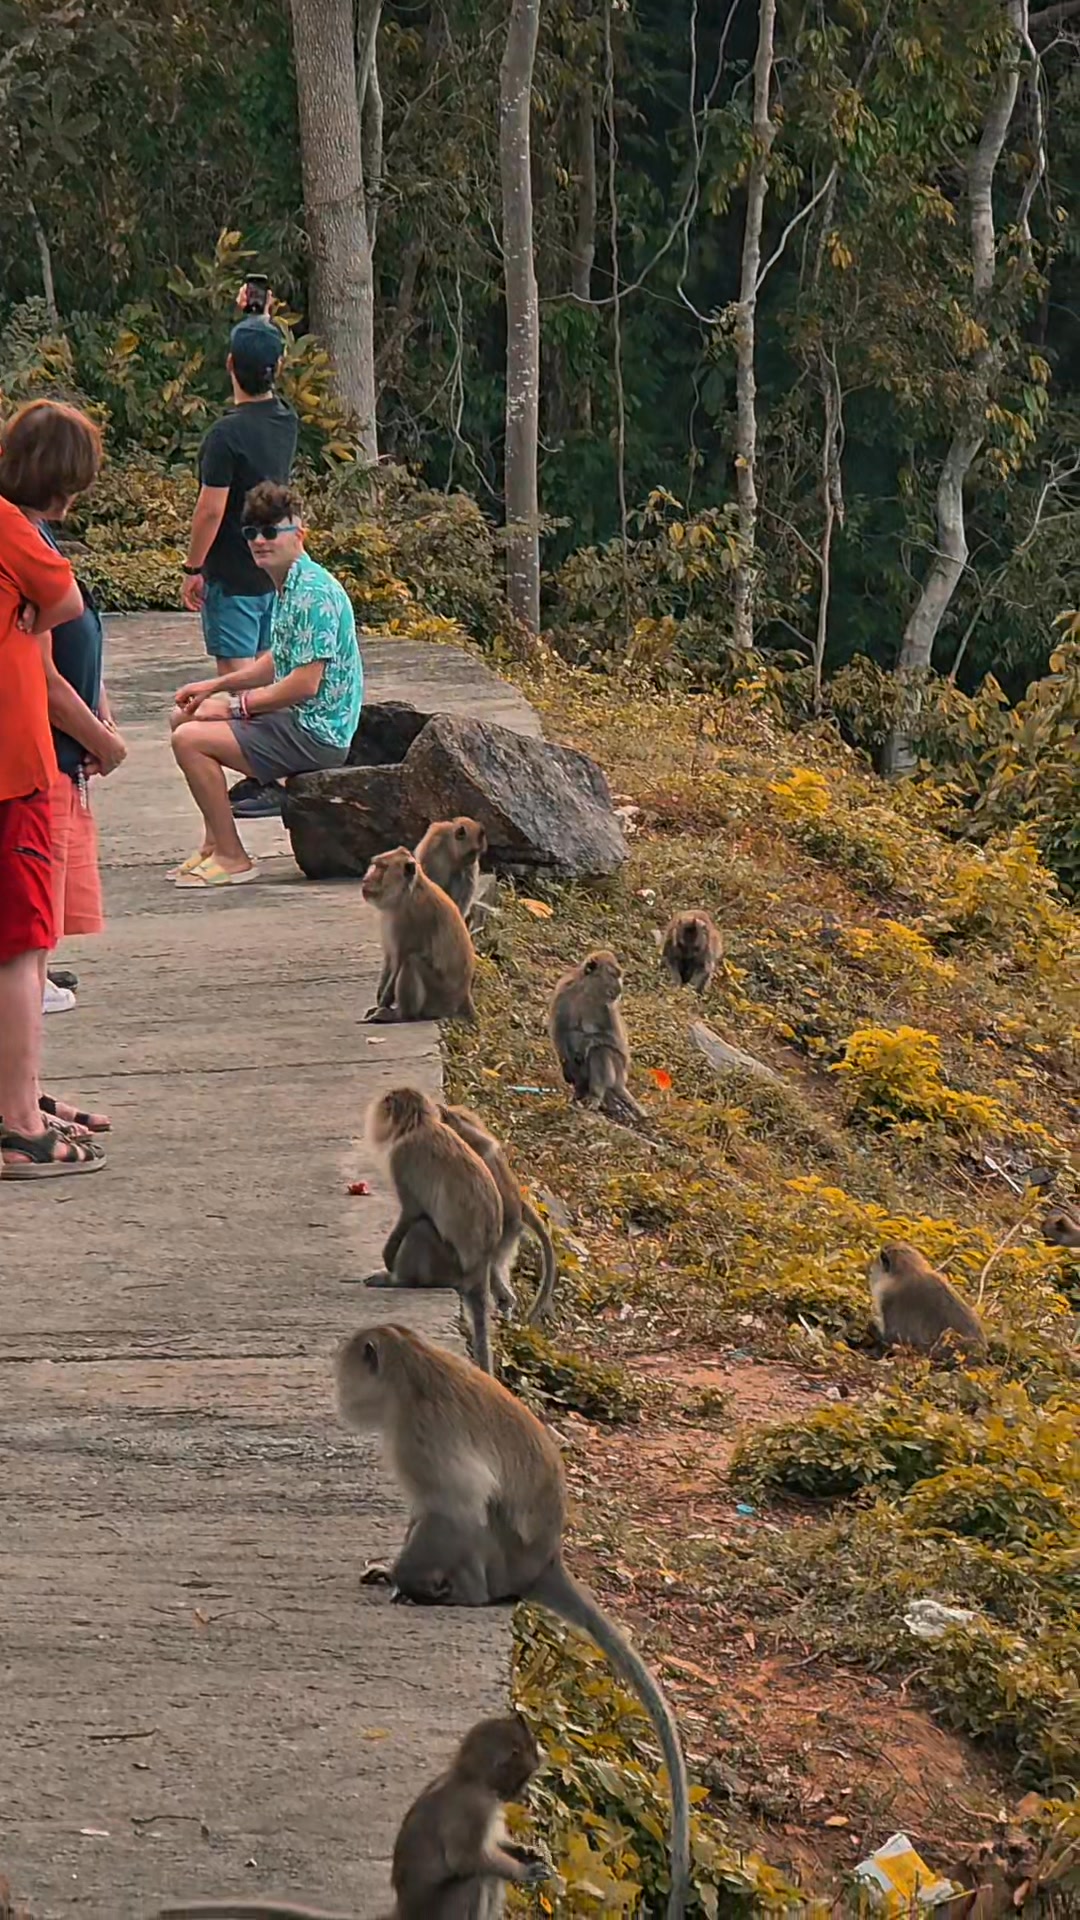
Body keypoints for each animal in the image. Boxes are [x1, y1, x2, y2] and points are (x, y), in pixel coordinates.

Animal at [157, 1714, 549, 1920]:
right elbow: (466, 1859)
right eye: (523, 1775)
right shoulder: (474, 1806)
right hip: (435, 1911)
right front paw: (523, 1869)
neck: (469, 1777)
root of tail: (403, 1911)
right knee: (476, 1878)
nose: (518, 1794)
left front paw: (524, 1853)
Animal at [335, 1323, 691, 1920]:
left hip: (498, 1557)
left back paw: (458, 1596)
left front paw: (405, 1579)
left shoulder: (418, 1435)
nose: (337, 1390)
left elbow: (454, 1508)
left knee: (473, 1525)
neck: (410, 1373)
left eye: (346, 1370)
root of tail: (545, 1562)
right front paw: (390, 1571)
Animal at [361, 849, 476, 1024]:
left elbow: (400, 960)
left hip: (440, 996)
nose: (366, 879)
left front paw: (383, 1004)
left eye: (381, 868)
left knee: (411, 961)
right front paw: (379, 1001)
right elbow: (389, 958)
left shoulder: (410, 919)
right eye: (376, 865)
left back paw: (401, 1015)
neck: (406, 893)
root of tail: (464, 995)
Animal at [365, 1088, 505, 1374]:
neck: (420, 1124)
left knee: (421, 1230)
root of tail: (481, 1266)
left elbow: (412, 1211)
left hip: (448, 1267)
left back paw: (400, 1280)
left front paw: (388, 1257)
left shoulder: (402, 1156)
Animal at [547, 950, 645, 1124]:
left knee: (600, 1051)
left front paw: (585, 1043)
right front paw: (565, 1063)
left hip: (618, 1073)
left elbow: (616, 1043)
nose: (620, 989)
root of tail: (621, 1083)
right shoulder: (563, 992)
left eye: (619, 976)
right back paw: (578, 1092)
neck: (587, 992)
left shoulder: (608, 1008)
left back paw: (595, 1096)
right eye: (613, 975)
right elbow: (559, 1030)